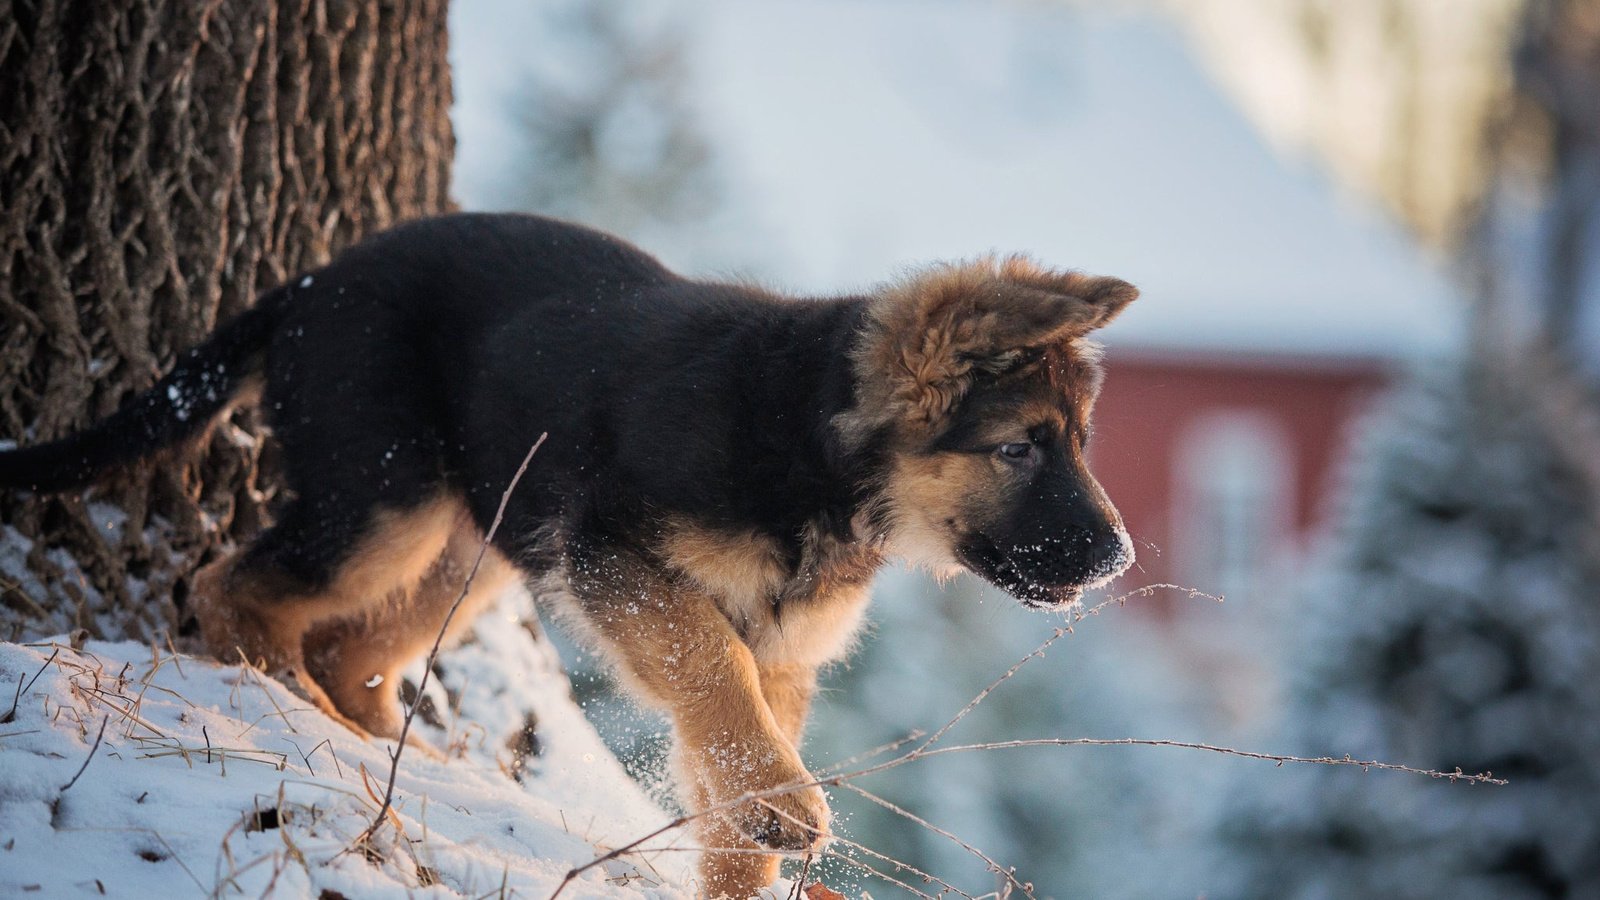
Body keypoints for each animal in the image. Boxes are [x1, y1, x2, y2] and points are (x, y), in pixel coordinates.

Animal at [0, 211, 1139, 890]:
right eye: (1019, 447)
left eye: (1083, 440)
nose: (1118, 563)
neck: (808, 447)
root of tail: (313, 281)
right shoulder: (618, 556)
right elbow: (712, 672)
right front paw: (786, 802)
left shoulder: (779, 652)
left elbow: (729, 761)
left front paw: (755, 839)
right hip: (389, 503)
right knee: (236, 587)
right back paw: (287, 707)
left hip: (477, 545)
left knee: (352, 648)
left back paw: (384, 748)